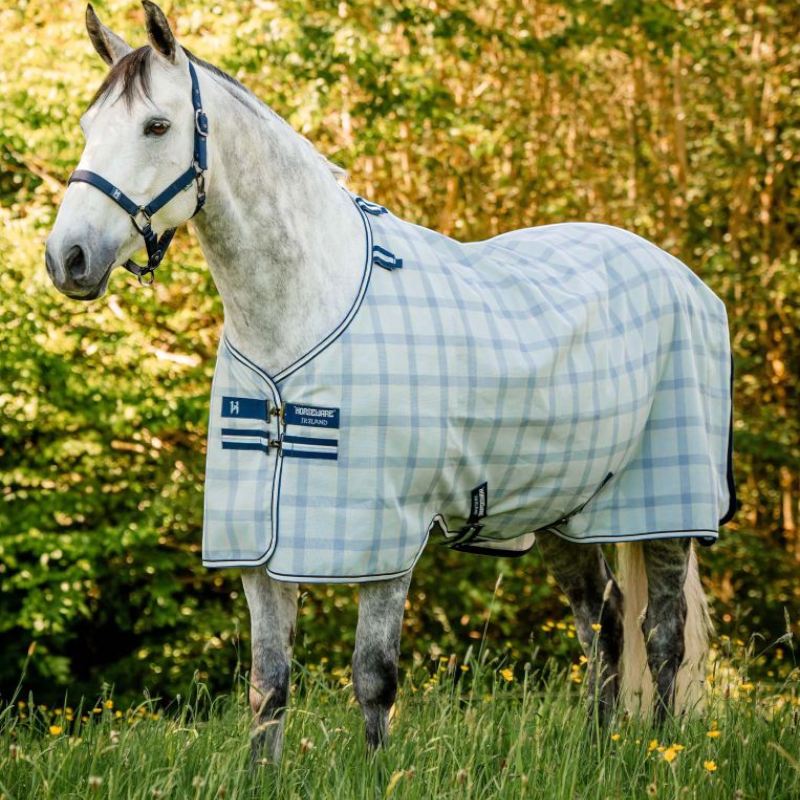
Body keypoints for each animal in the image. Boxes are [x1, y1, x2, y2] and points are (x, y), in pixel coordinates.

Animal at [46, 2, 734, 762]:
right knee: (604, 620)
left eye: (156, 126)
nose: (67, 258)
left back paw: (660, 756)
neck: (303, 311)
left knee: (662, 635)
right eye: (88, 127)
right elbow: (268, 688)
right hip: (563, 504)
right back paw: (597, 749)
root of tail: (680, 274)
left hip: (667, 510)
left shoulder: (385, 540)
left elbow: (374, 680)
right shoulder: (260, 549)